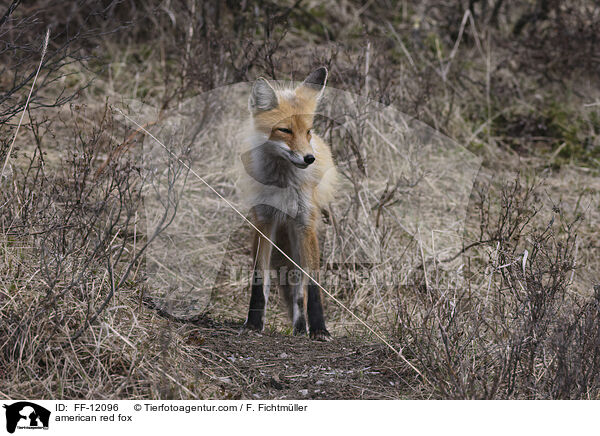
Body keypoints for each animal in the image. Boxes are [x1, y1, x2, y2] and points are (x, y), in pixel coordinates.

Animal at [241, 67, 340, 340]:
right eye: (285, 130)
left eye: (308, 131)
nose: (309, 158)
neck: (283, 182)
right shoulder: (264, 221)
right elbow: (259, 279)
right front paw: (254, 323)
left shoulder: (305, 222)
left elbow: (313, 285)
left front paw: (319, 329)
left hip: (299, 235)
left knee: (298, 289)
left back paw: (300, 326)